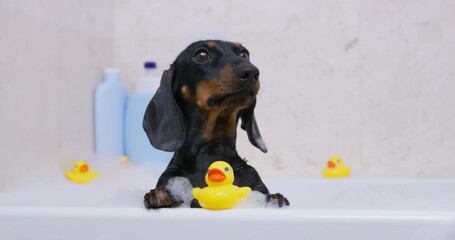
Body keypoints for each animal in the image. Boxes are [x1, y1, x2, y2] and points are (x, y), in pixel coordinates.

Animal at [144, 39, 290, 208]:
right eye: (201, 54)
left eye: (244, 54)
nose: (252, 72)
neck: (211, 152)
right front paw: (159, 195)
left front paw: (274, 198)